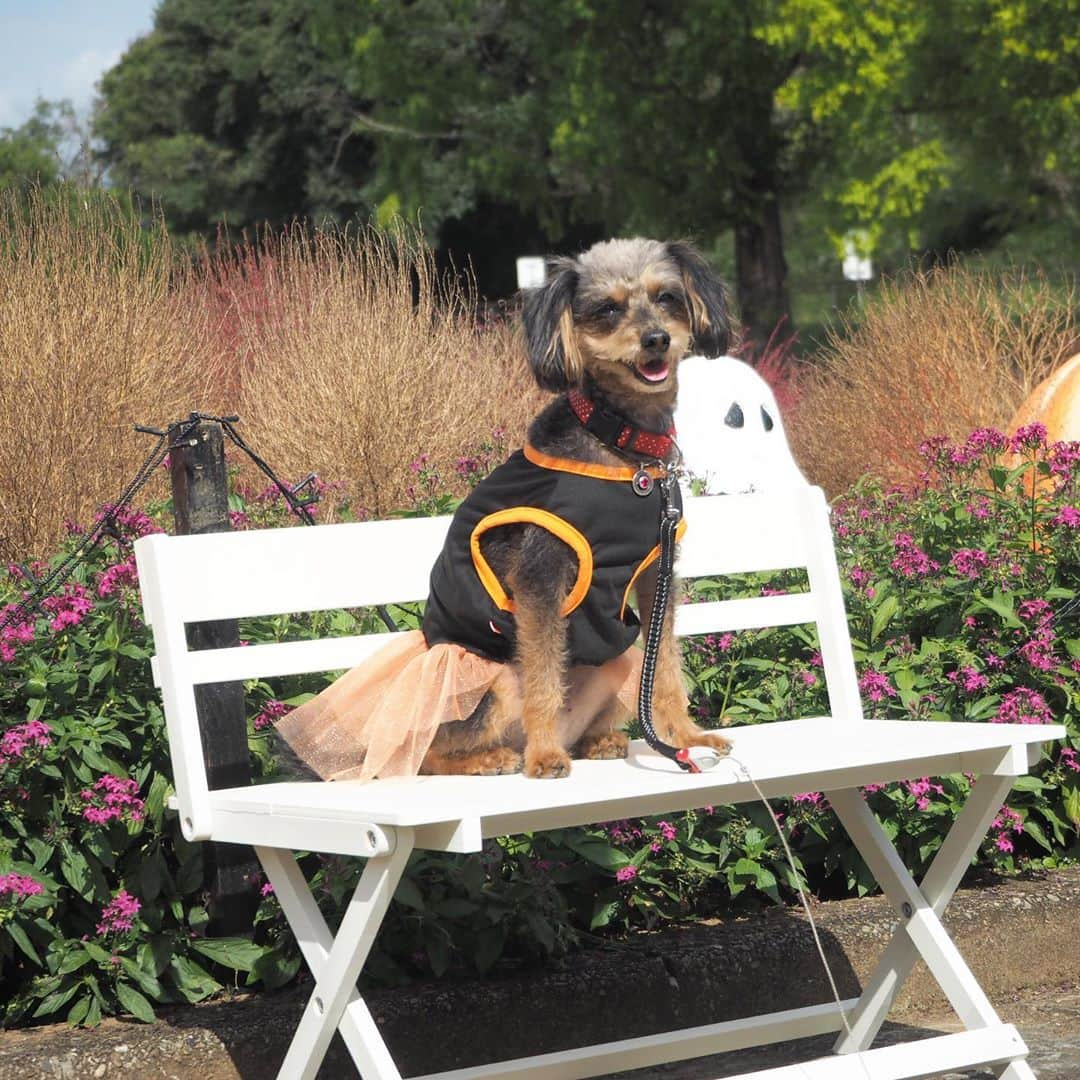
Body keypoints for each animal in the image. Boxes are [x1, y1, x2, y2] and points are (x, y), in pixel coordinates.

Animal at [419, 236, 734, 777]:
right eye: (607, 309)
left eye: (667, 297)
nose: (655, 339)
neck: (623, 445)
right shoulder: (540, 582)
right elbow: (544, 681)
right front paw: (545, 755)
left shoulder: (657, 577)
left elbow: (666, 668)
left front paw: (688, 737)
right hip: (491, 681)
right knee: (425, 754)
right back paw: (494, 758)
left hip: (614, 662)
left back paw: (595, 742)